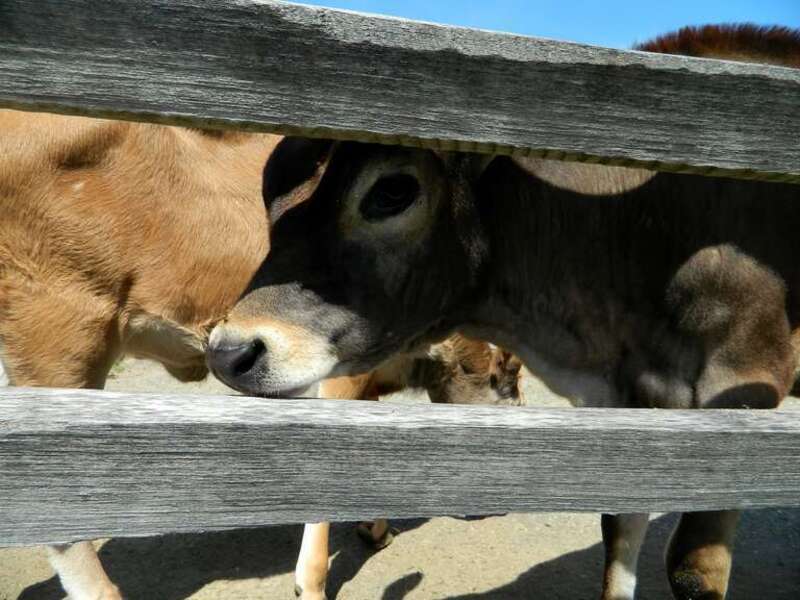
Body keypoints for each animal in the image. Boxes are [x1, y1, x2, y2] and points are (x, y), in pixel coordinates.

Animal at [207, 25, 800, 600]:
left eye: (392, 190)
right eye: (269, 192)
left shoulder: (743, 392)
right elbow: (619, 535)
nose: (229, 351)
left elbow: (693, 574)